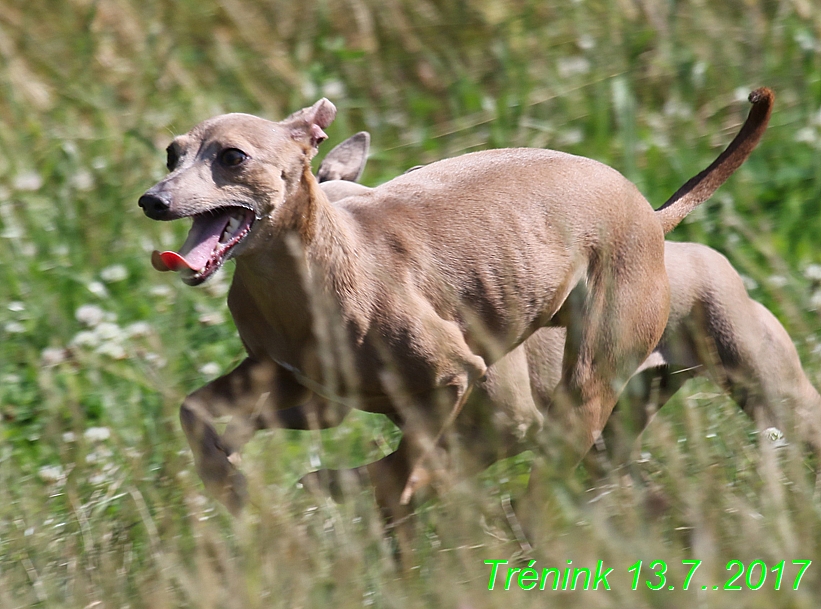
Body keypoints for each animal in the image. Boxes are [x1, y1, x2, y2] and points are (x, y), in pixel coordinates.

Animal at [139, 89, 768, 532]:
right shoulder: (300, 389)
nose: (152, 200)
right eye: (172, 153)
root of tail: (651, 214)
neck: (308, 274)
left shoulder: (454, 379)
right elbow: (195, 413)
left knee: (540, 483)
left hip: (593, 383)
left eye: (233, 156)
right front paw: (229, 486)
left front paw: (338, 488)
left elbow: (400, 473)